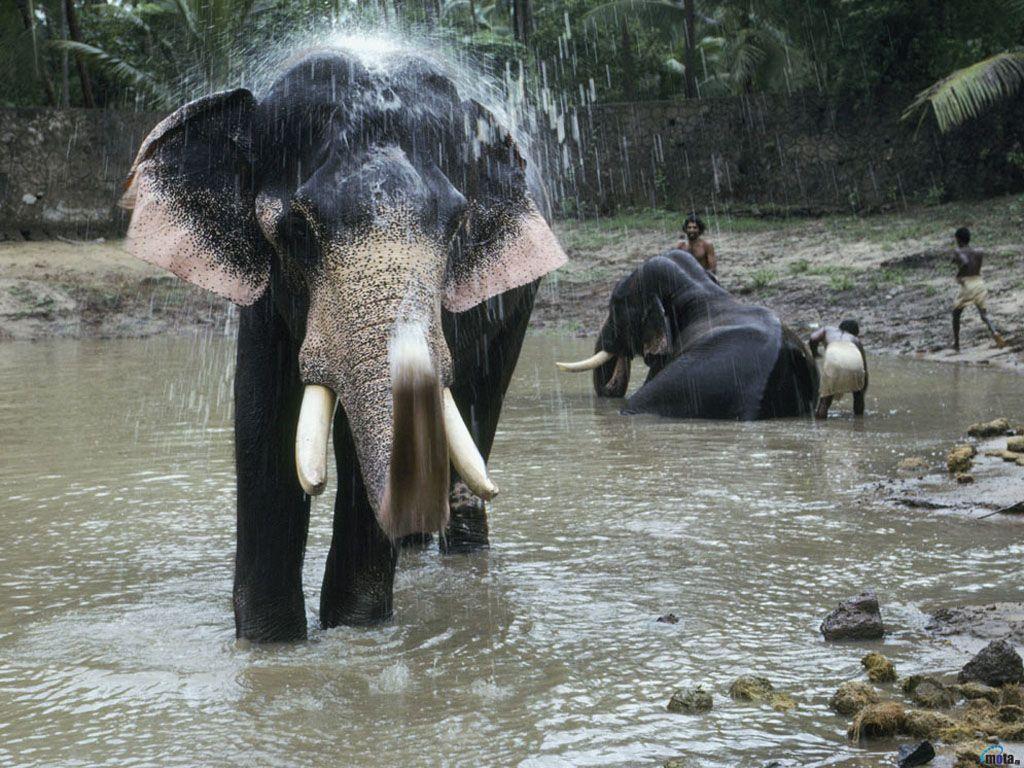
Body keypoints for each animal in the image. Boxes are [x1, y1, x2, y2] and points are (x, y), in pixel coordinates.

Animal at [120, 47, 566, 642]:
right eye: (297, 230)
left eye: (456, 227)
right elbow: (261, 416)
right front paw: (272, 646)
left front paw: (356, 636)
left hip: (515, 305)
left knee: (479, 404)